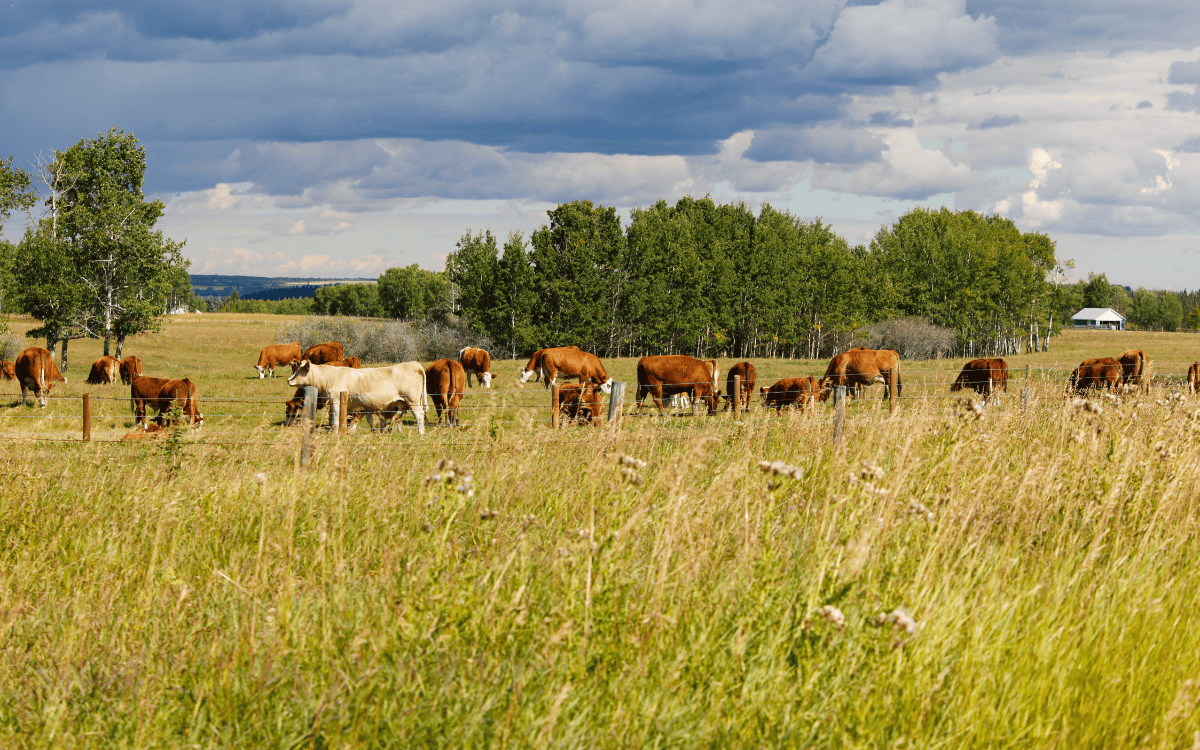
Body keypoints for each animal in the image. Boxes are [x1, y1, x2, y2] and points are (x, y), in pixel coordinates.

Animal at [288, 360, 428, 434]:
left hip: (413, 401)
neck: (328, 377)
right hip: (403, 403)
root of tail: (414, 364)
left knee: (419, 415)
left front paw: (335, 432)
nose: (289, 380)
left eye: (299, 371)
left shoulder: (336, 401)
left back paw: (420, 433)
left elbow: (336, 419)